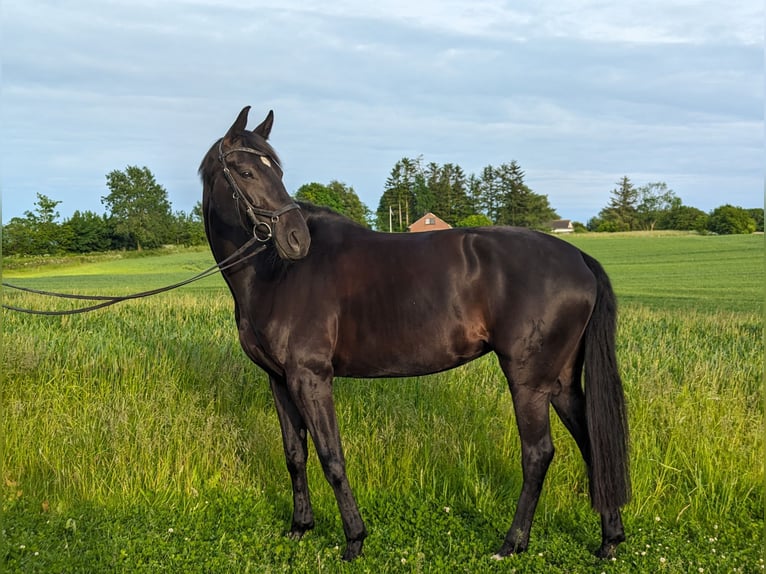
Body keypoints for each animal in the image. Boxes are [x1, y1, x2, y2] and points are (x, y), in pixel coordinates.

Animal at [200, 107, 632, 564]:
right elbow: (295, 454)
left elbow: (331, 457)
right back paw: (609, 539)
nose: (296, 238)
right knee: (592, 443)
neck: (275, 273)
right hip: (561, 381)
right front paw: (300, 527)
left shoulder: (311, 377)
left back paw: (512, 542)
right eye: (247, 171)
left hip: (529, 382)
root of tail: (579, 257)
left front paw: (354, 539)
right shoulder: (279, 380)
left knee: (538, 454)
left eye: (276, 171)